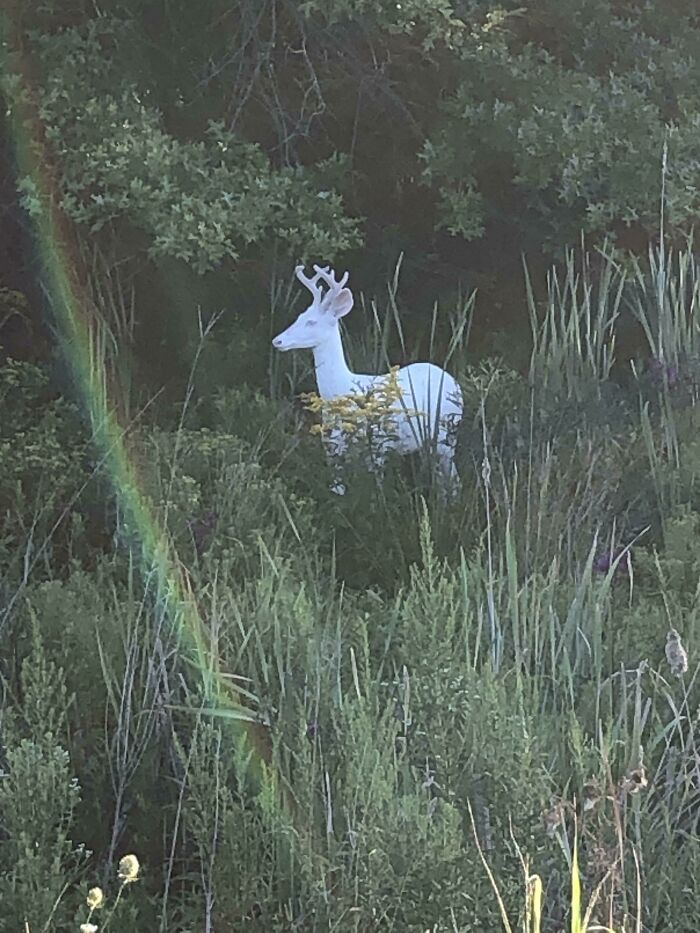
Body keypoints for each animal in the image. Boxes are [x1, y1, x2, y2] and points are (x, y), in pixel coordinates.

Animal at [272, 264, 463, 495]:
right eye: (300, 316)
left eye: (311, 321)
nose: (277, 341)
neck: (340, 390)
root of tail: (454, 383)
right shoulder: (331, 442)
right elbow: (338, 487)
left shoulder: (379, 444)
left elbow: (376, 485)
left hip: (447, 434)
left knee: (454, 480)